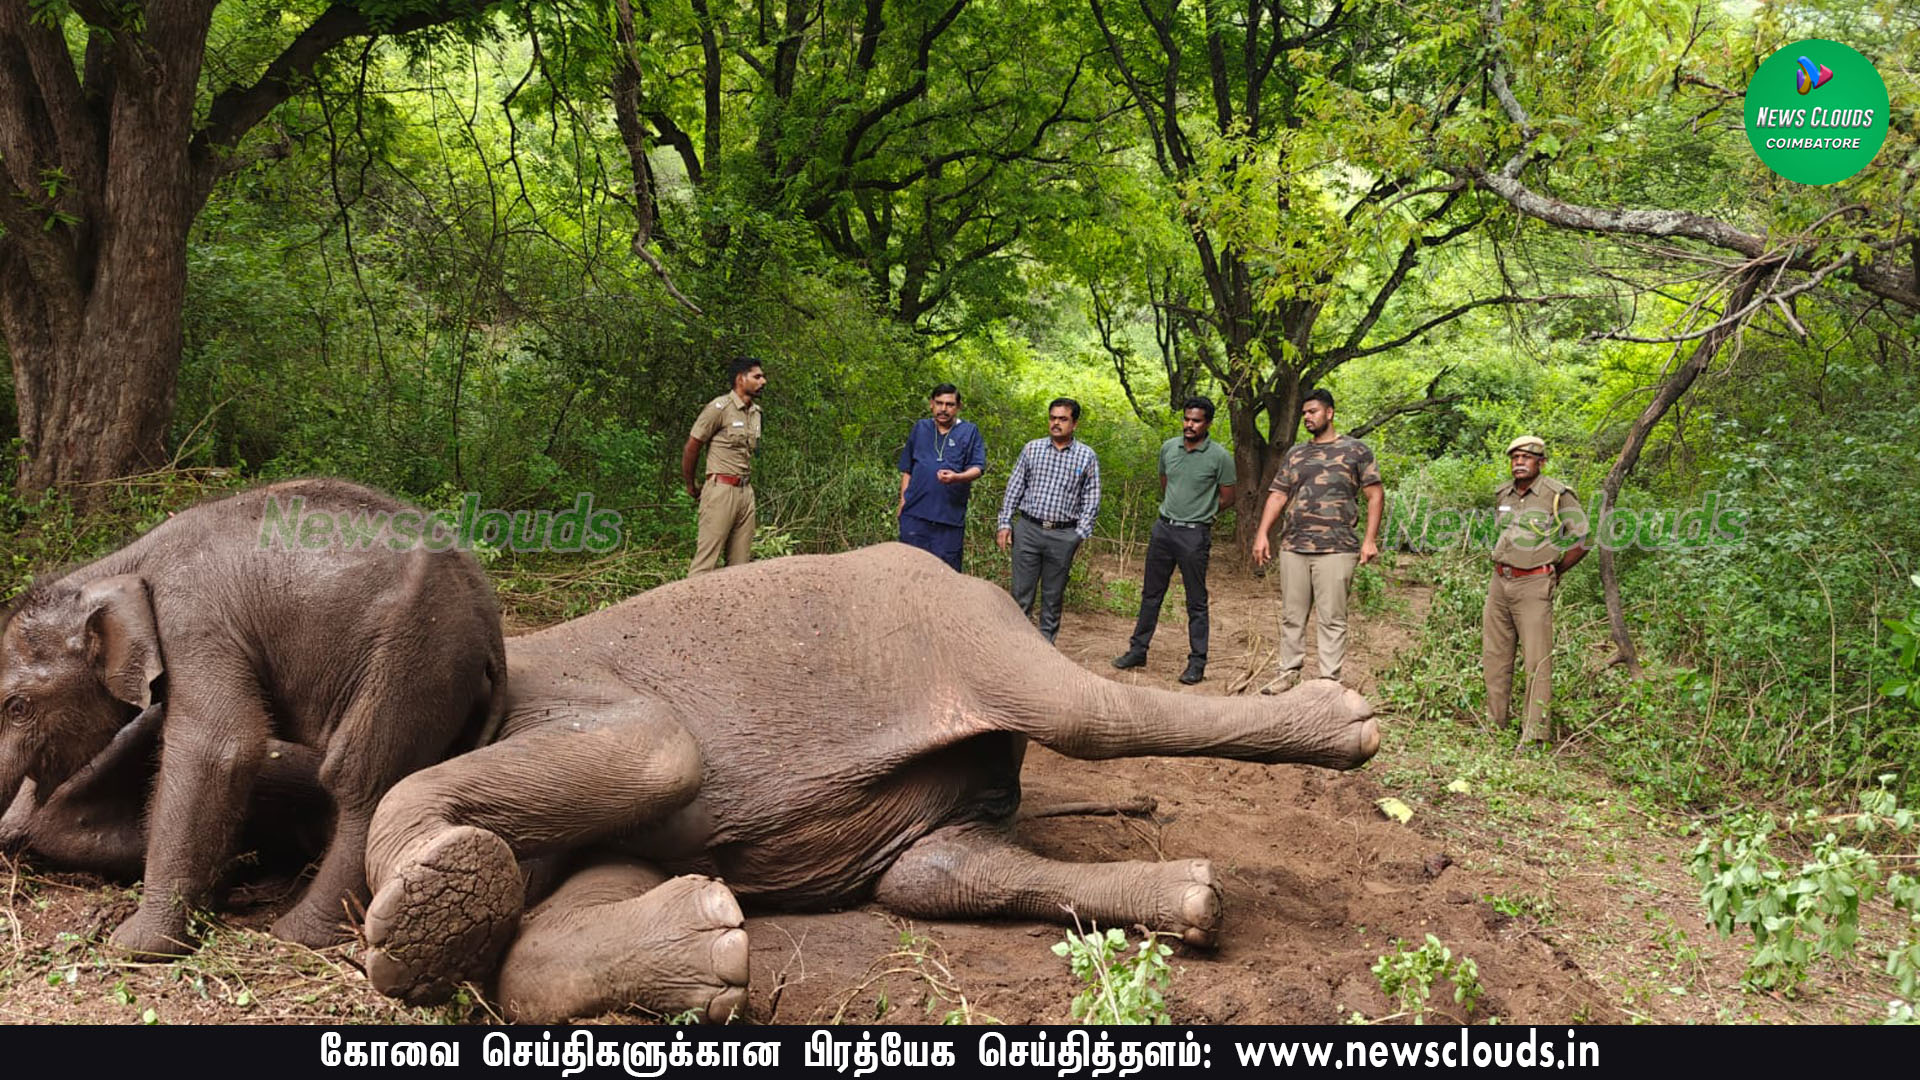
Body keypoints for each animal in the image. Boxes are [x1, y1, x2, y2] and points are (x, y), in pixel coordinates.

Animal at [0, 476, 506, 949]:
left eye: (17, 706)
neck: (119, 566)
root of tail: (487, 609)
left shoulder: (195, 624)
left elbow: (219, 747)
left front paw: (134, 946)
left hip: (415, 656)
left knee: (358, 776)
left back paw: (299, 933)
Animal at [362, 541, 1382, 1022]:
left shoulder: (570, 697)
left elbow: (657, 751)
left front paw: (420, 911)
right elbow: (558, 931)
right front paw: (714, 943)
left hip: (973, 622)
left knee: (1092, 716)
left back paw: (1350, 723)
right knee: (938, 870)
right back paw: (1196, 900)